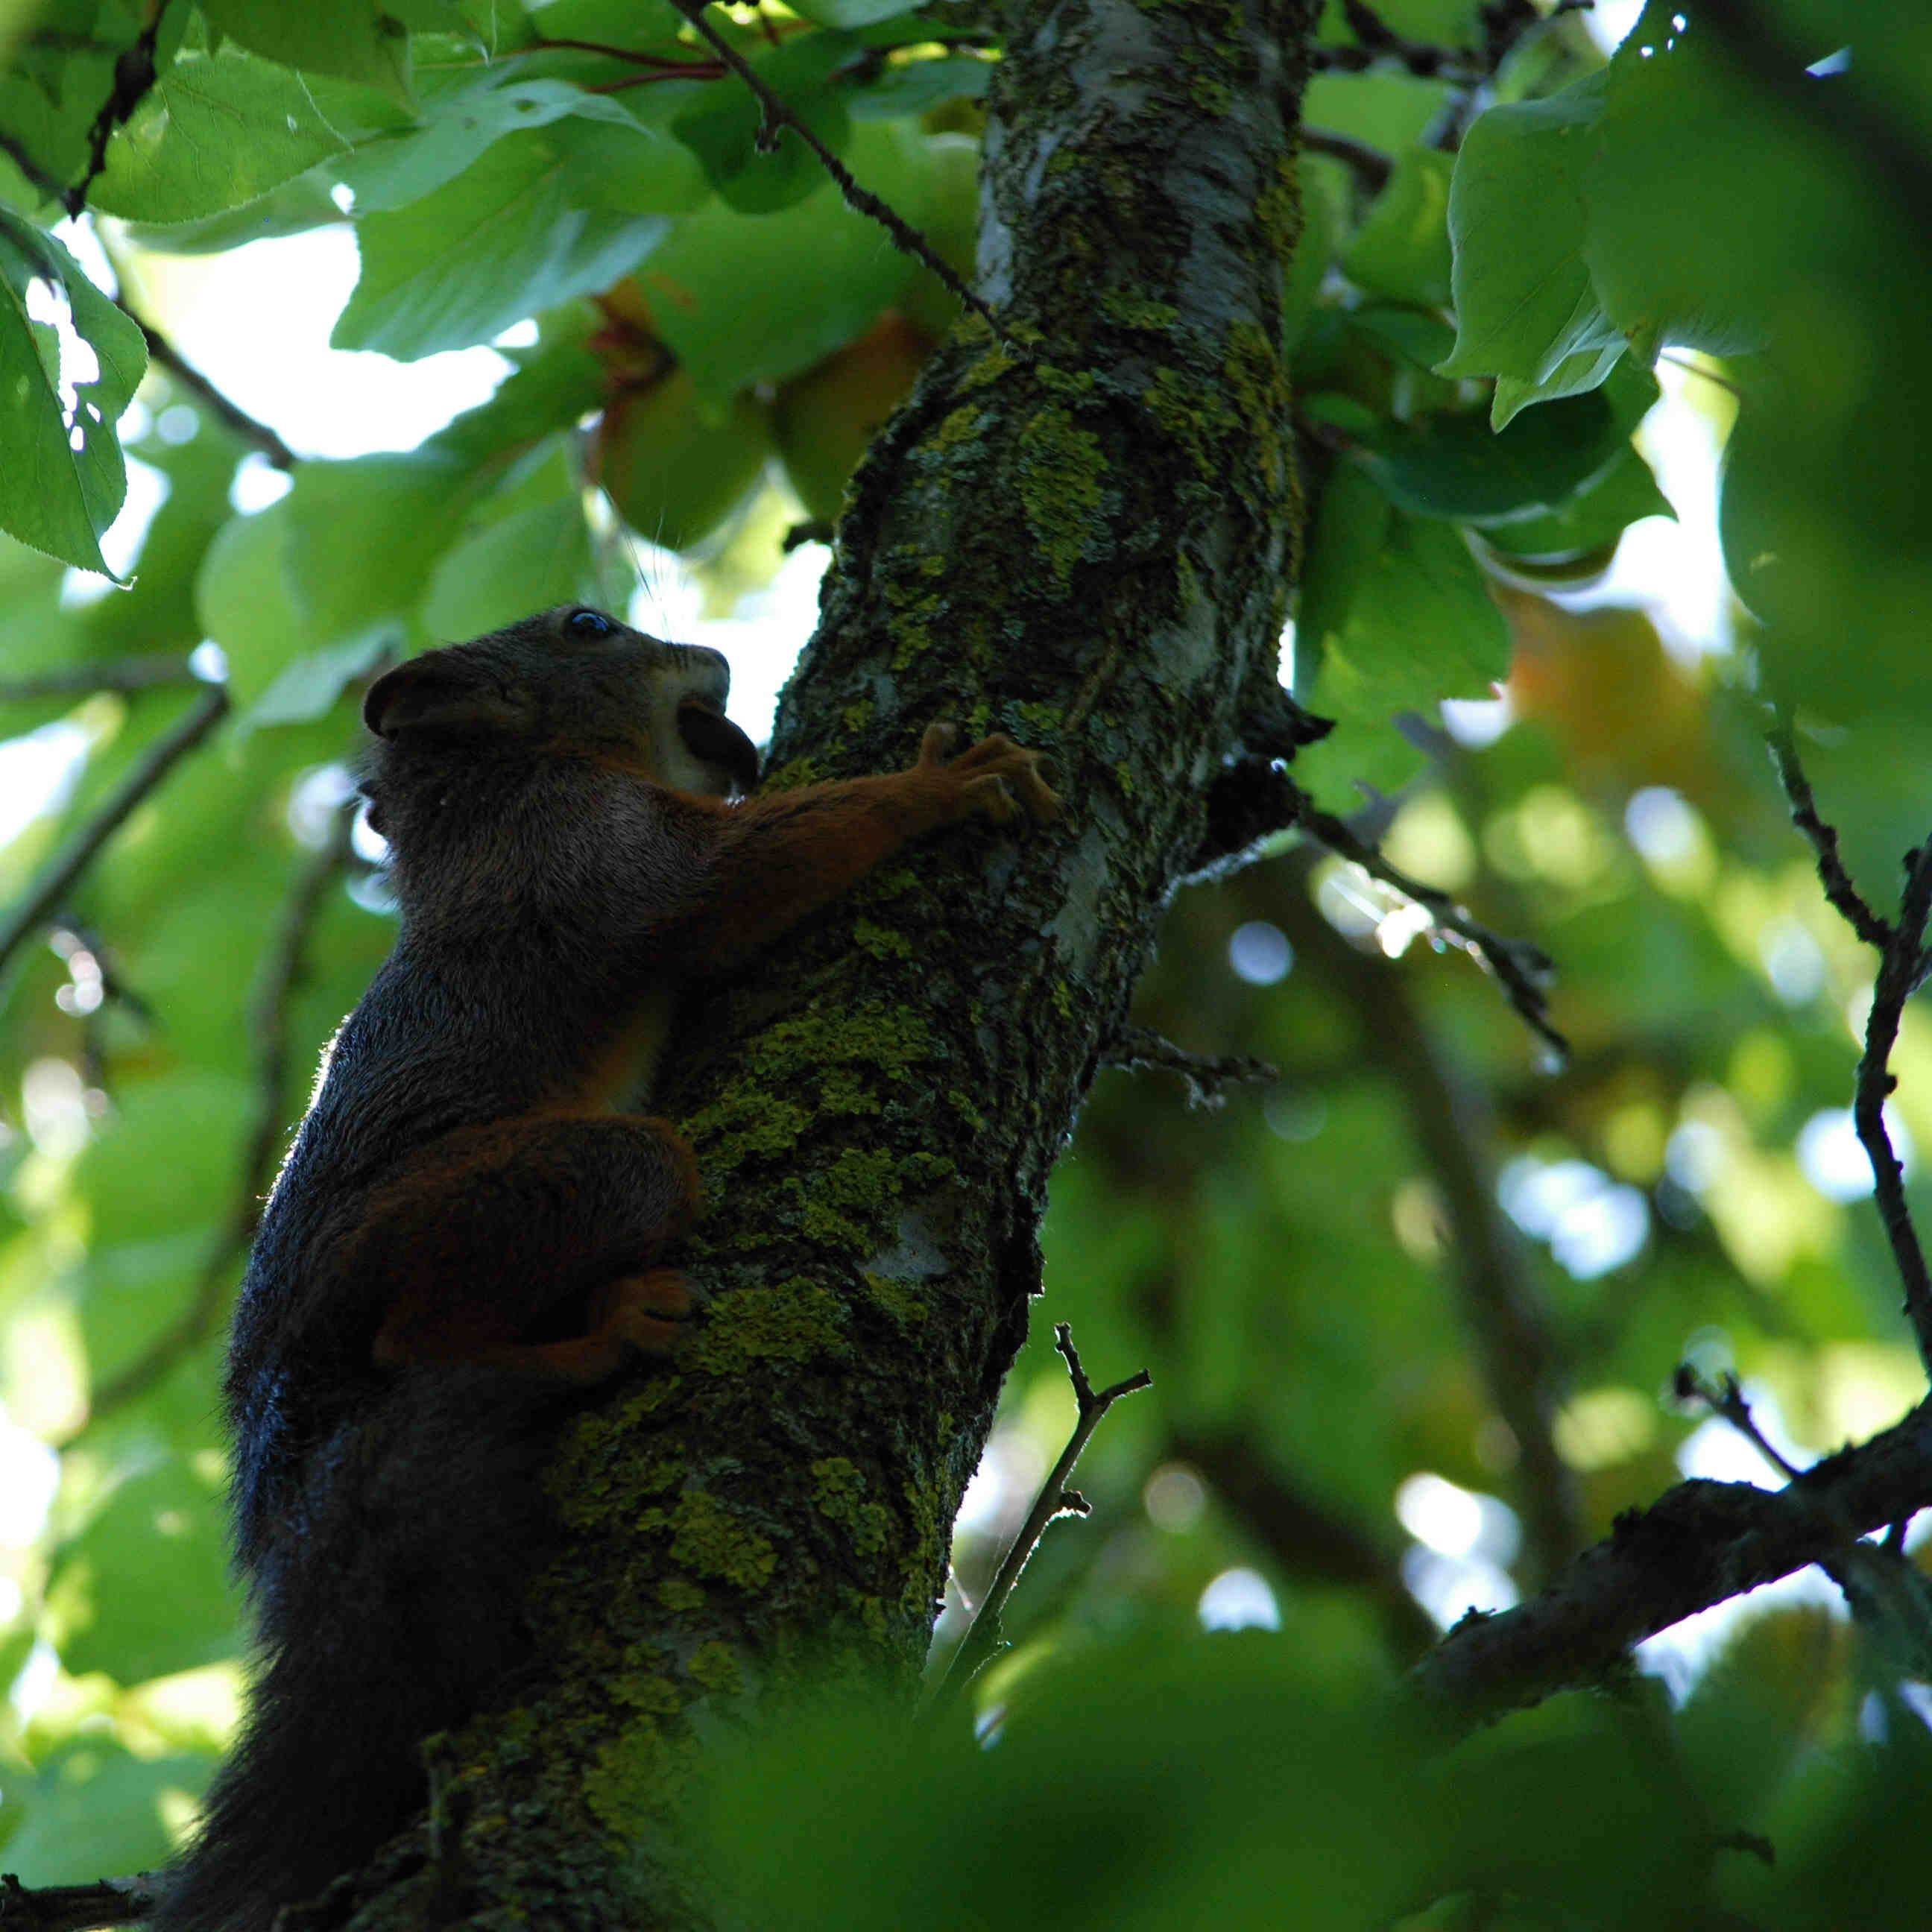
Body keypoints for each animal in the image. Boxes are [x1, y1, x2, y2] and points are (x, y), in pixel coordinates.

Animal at [152, 606, 1066, 1932]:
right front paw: (940, 782)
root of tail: (284, 1405)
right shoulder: (592, 852)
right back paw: (590, 1337)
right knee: (426, 1339)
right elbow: (730, 882)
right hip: (519, 1194)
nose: (722, 660)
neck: (508, 787)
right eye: (586, 628)